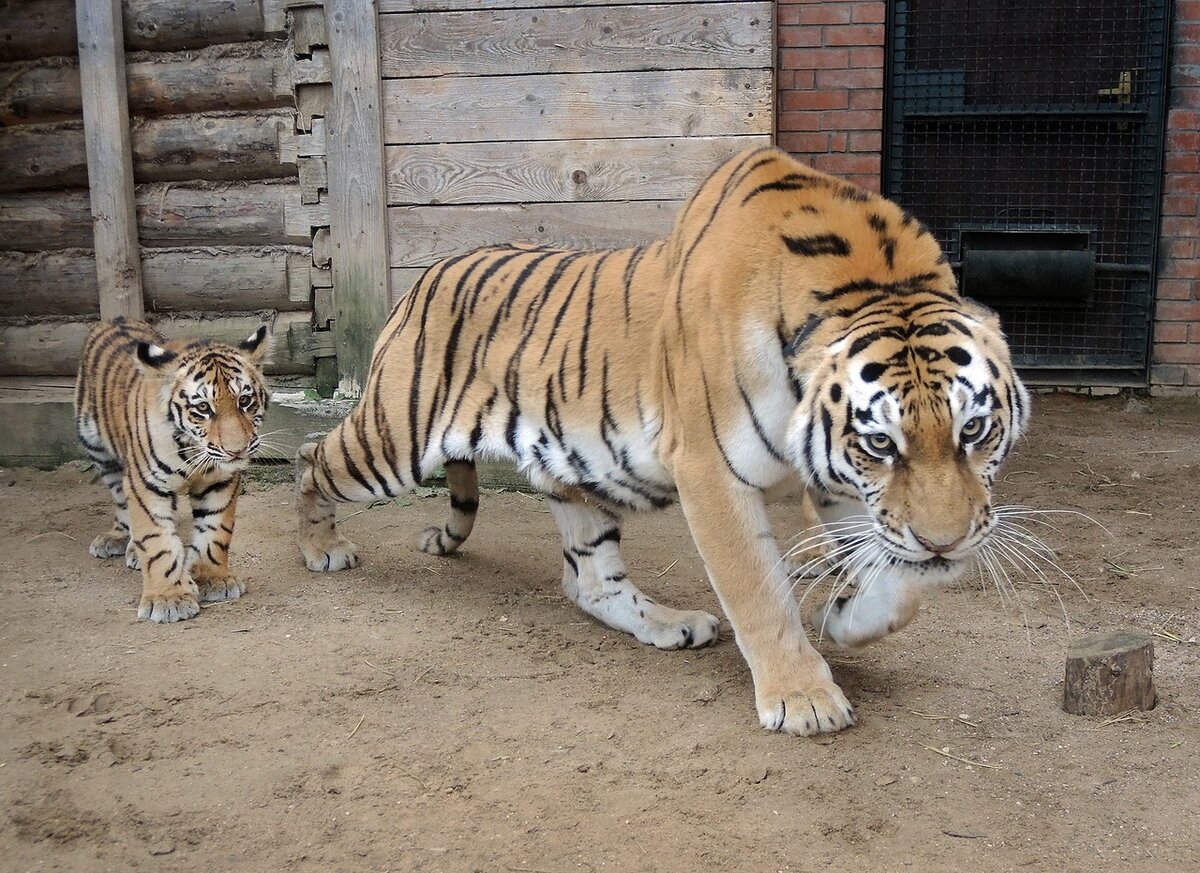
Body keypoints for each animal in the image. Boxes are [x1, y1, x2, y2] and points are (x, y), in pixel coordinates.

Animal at [76, 316, 271, 623]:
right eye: (203, 408)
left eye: (244, 401)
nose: (236, 451)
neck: (191, 450)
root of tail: (117, 319)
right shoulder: (146, 485)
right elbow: (157, 542)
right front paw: (169, 599)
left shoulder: (220, 481)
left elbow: (216, 532)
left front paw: (214, 579)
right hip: (98, 449)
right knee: (121, 502)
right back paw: (119, 540)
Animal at [292, 146, 1032, 733]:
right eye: (882, 444)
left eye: (974, 429)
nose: (946, 545)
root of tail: (424, 277)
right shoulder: (712, 471)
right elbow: (758, 590)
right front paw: (804, 697)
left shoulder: (846, 487)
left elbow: (897, 585)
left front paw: (846, 616)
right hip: (391, 439)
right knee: (310, 458)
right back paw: (321, 548)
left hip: (573, 473)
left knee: (590, 581)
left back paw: (671, 624)